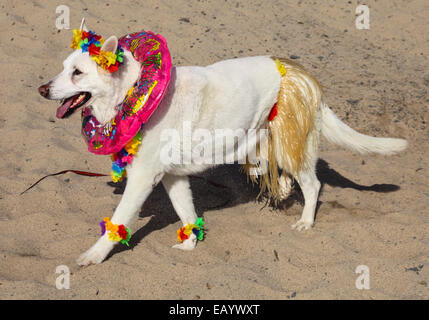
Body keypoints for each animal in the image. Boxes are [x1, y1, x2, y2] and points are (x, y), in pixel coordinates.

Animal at [38, 20, 406, 264]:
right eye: (64, 68)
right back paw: (282, 191)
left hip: (290, 144)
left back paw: (305, 220)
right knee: (286, 178)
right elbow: (186, 211)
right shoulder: (172, 177)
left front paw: (93, 255)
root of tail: (300, 75)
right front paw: (189, 244)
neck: (133, 91)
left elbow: (118, 220)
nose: (42, 89)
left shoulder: (143, 178)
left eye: (78, 73)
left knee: (313, 185)